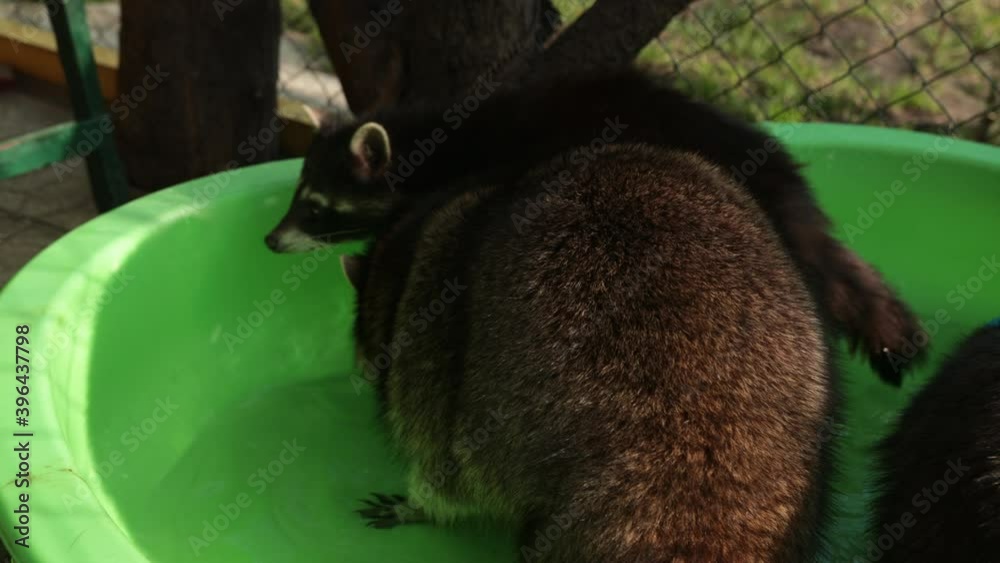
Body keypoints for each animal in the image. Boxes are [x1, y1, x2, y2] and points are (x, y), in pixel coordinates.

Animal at [266, 68, 924, 384]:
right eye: (298, 196)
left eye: (317, 206)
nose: (271, 240)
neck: (428, 145)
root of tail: (786, 190)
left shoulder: (478, 175)